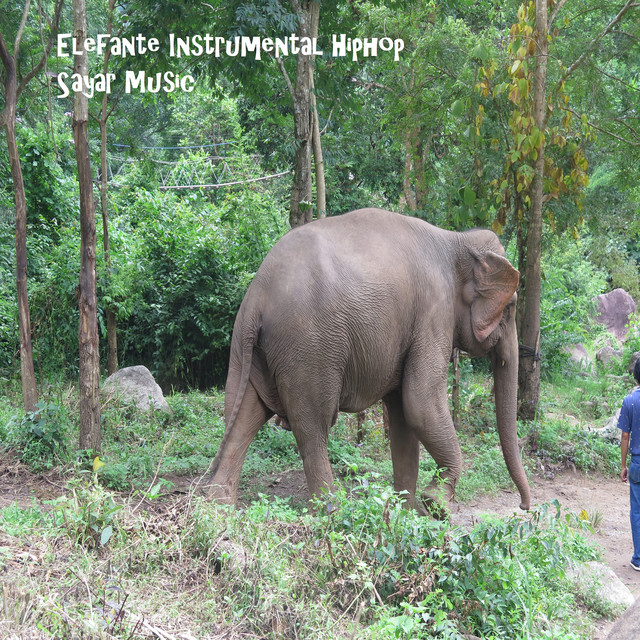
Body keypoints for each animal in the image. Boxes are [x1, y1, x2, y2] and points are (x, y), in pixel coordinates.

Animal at [209, 208, 531, 514]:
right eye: (511, 306)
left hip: (246, 347)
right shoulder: (433, 314)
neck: (457, 240)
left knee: (243, 414)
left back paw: (219, 508)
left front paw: (407, 512)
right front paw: (436, 505)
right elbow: (420, 403)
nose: (524, 506)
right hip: (308, 347)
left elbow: (404, 416)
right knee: (312, 427)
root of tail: (258, 296)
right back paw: (332, 511)